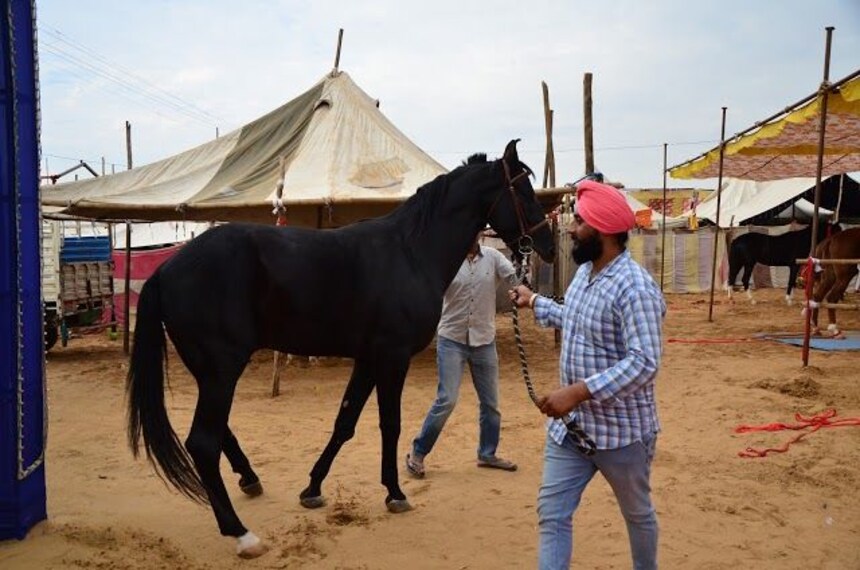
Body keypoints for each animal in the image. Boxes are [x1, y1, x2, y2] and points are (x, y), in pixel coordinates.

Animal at [126, 139, 555, 558]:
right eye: (521, 188)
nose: (547, 245)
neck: (410, 251)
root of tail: (166, 270)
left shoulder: (367, 359)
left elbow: (344, 423)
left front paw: (313, 489)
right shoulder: (392, 358)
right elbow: (390, 424)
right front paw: (395, 494)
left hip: (210, 370)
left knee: (219, 432)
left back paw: (249, 479)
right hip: (221, 370)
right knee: (203, 442)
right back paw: (242, 534)